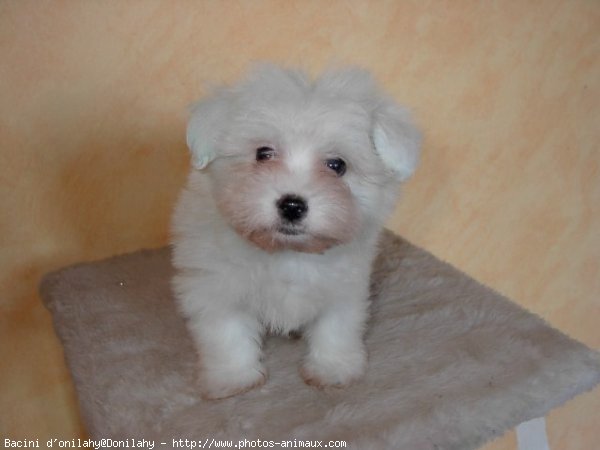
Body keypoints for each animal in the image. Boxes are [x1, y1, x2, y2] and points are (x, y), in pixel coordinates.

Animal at [171, 64, 420, 400]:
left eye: (337, 165)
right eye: (263, 153)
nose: (292, 205)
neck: (287, 253)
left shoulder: (345, 285)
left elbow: (336, 326)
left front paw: (332, 369)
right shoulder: (215, 284)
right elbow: (225, 332)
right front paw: (233, 378)